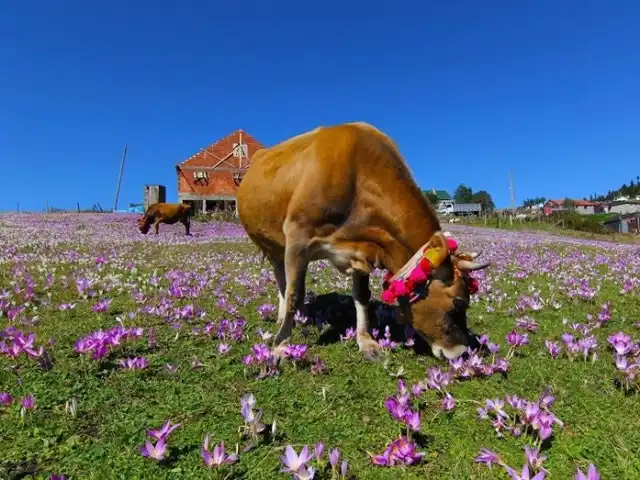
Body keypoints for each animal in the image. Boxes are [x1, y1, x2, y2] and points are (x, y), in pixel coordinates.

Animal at [238, 122, 492, 362]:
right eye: (459, 302)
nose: (461, 353)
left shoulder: (363, 249)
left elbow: (361, 296)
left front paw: (366, 341)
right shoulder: (298, 235)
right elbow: (293, 294)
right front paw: (281, 345)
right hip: (273, 244)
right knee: (284, 281)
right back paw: (284, 317)